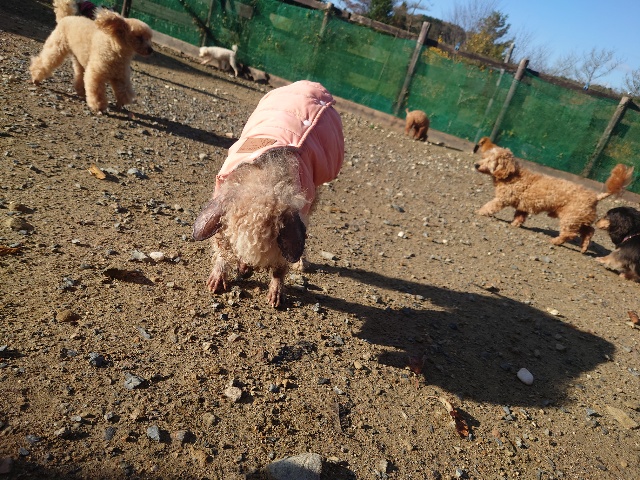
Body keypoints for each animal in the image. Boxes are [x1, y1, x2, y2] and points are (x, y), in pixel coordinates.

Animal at [192, 80, 344, 307]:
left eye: (269, 247)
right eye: (237, 245)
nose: (244, 273)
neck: (264, 181)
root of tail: (310, 84)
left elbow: (281, 266)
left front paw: (276, 297)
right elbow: (219, 244)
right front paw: (215, 282)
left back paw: (301, 264)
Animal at [473, 138, 634, 252]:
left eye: (490, 160)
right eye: (483, 157)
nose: (476, 165)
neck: (511, 175)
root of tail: (595, 197)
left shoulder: (502, 199)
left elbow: (490, 205)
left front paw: (479, 211)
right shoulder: (523, 206)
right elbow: (519, 216)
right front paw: (514, 224)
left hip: (570, 217)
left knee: (570, 234)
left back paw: (556, 241)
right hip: (579, 217)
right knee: (589, 231)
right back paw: (584, 247)